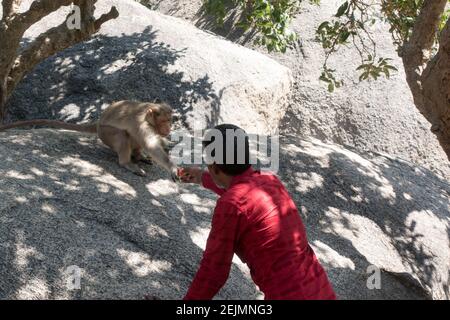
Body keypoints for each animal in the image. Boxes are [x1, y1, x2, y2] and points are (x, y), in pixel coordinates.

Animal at [0, 100, 179, 180]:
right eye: (165, 121)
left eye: (170, 120)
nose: (169, 128)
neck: (148, 116)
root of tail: (98, 122)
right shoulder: (141, 123)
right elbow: (151, 145)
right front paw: (173, 168)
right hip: (105, 133)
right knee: (123, 135)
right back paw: (127, 163)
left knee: (133, 137)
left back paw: (138, 156)